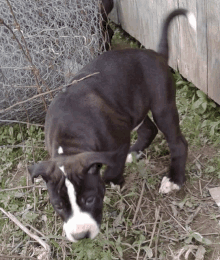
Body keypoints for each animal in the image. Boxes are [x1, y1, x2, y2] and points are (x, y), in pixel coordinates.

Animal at [28, 9, 196, 243]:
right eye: (58, 206)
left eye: (90, 200)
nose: (81, 235)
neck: (70, 140)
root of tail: (155, 54)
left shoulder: (118, 142)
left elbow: (109, 172)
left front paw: (115, 181)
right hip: (132, 108)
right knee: (148, 129)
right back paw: (134, 154)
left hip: (162, 106)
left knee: (177, 142)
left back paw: (174, 180)